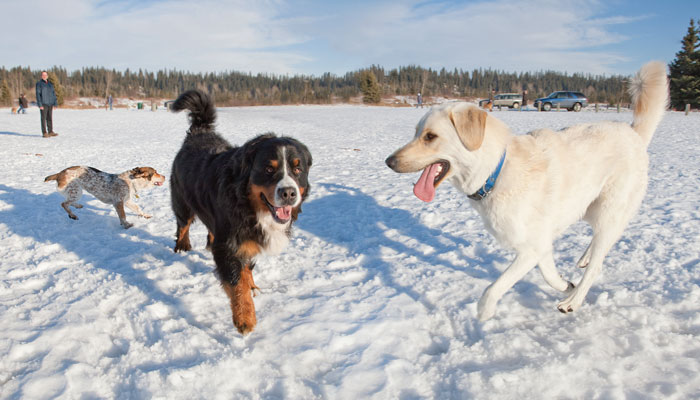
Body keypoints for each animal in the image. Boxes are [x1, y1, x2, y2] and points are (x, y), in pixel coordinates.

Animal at [386, 61, 668, 320]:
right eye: (416, 133)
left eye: (430, 137)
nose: (389, 161)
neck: (496, 171)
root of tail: (633, 133)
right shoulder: (539, 244)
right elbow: (549, 274)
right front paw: (565, 283)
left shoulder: (530, 248)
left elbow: (494, 287)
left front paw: (484, 313)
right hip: (590, 209)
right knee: (597, 245)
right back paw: (583, 261)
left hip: (610, 210)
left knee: (598, 263)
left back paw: (574, 300)